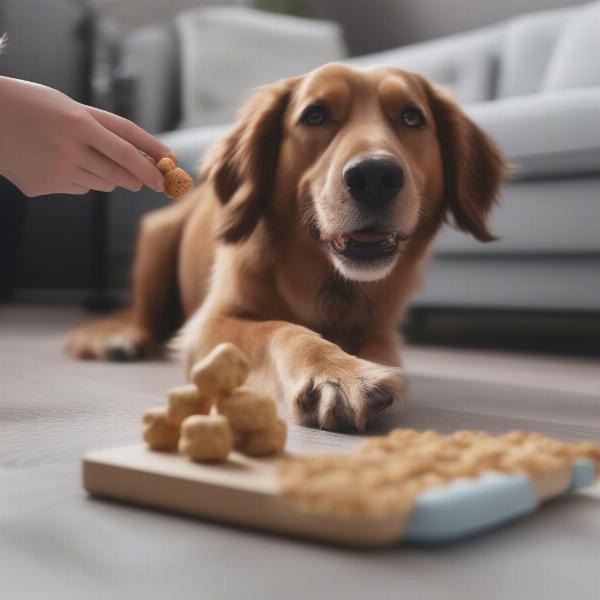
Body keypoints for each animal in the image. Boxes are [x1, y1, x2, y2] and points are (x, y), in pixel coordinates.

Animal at [67, 64, 506, 432]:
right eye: (315, 115)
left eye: (412, 118)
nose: (375, 176)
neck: (327, 282)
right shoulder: (212, 324)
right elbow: (282, 330)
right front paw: (337, 373)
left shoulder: (381, 326)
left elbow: (381, 349)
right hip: (157, 235)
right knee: (141, 313)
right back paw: (122, 337)